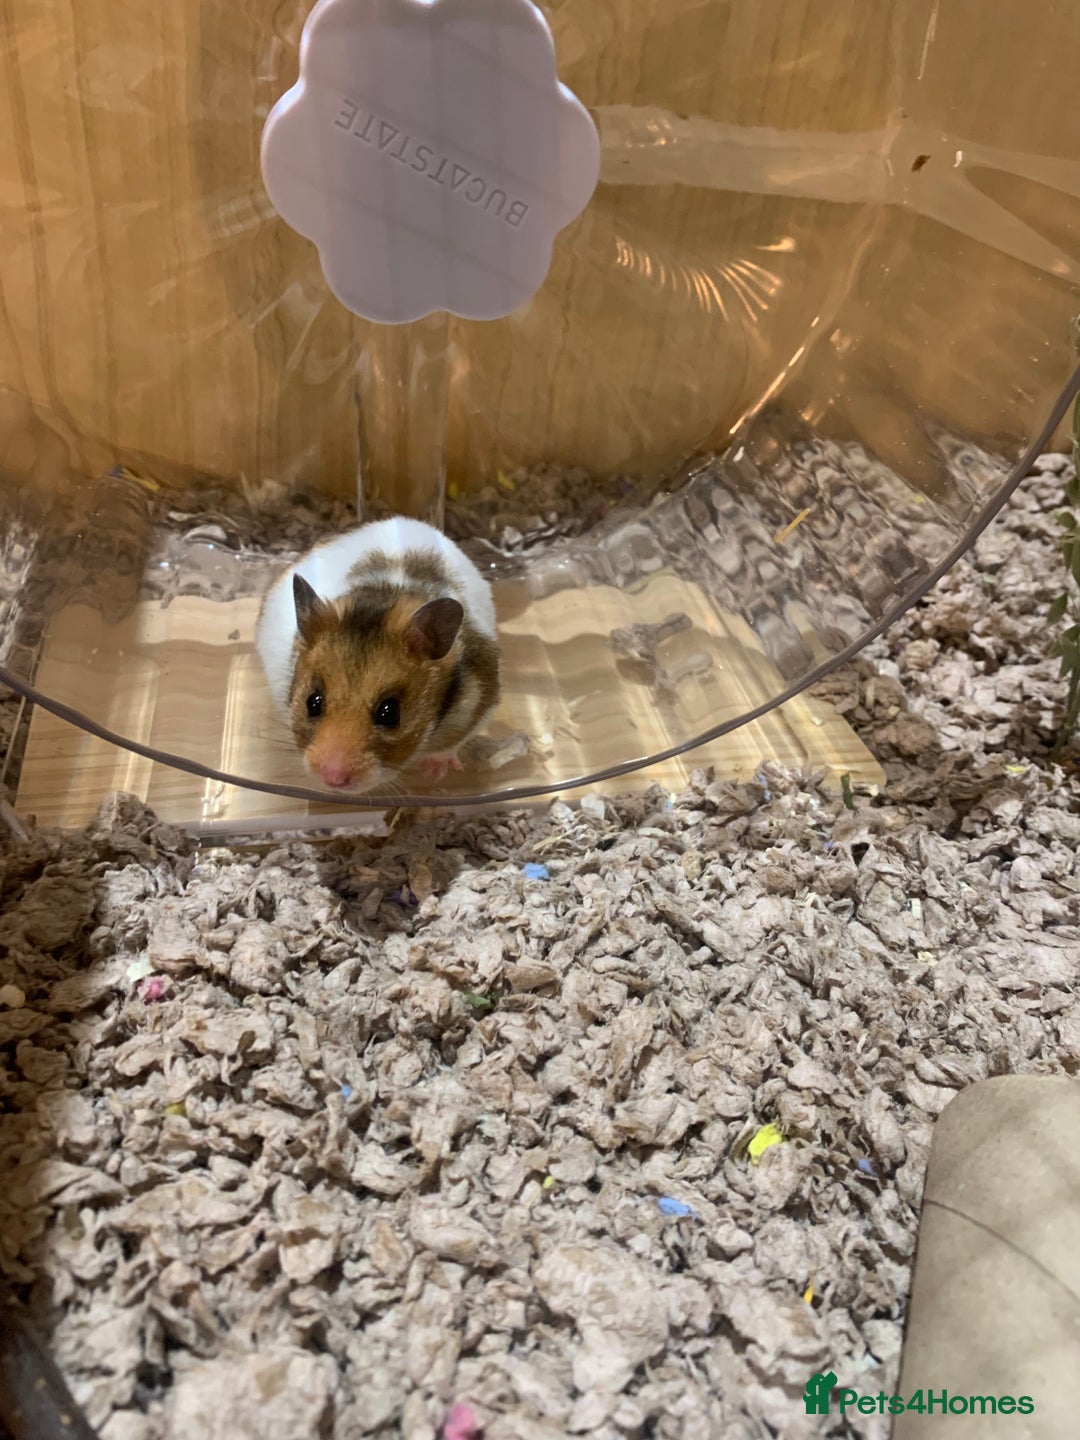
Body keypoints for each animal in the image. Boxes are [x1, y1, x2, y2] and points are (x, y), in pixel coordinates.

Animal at [256, 518, 500, 791]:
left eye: (389, 712)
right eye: (313, 702)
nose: (333, 780)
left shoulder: (480, 701)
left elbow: (452, 745)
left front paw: (434, 774)